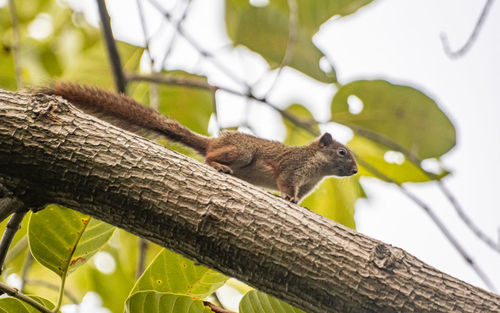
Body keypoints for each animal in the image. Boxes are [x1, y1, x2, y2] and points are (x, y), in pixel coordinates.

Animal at [41, 81, 358, 201]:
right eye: (342, 152)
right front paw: (288, 198)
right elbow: (285, 183)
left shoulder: (307, 186)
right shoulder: (292, 169)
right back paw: (218, 166)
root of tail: (212, 142)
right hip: (242, 154)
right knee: (207, 158)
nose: (355, 170)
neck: (317, 169)